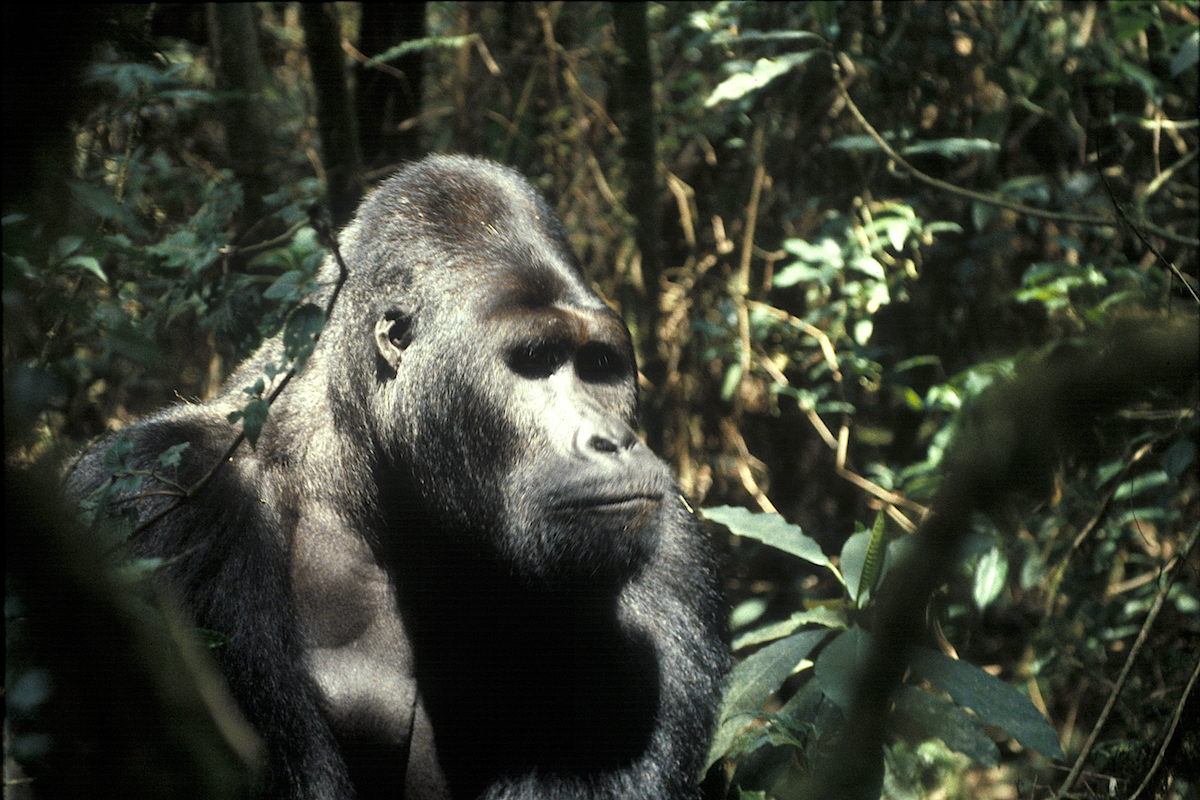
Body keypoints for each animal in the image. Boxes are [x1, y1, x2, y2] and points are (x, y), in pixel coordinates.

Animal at [70, 155, 724, 800]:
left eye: (600, 366)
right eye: (535, 360)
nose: (612, 441)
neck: (364, 479)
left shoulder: (669, 554)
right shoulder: (159, 495)